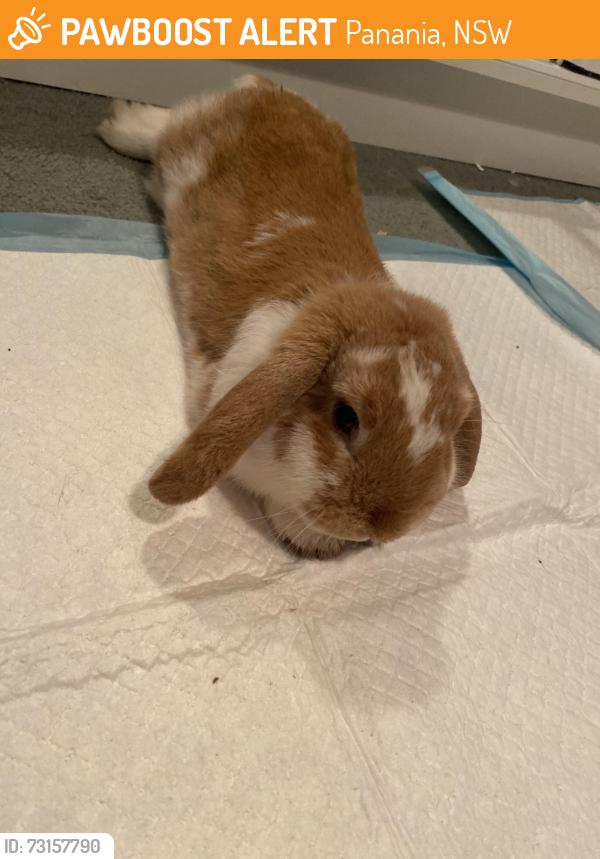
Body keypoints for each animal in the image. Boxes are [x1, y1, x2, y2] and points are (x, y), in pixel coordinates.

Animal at [98, 74, 481, 559]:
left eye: (450, 432)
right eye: (346, 418)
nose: (378, 526)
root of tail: (272, 89)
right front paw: (313, 539)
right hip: (184, 143)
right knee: (164, 127)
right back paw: (116, 124)